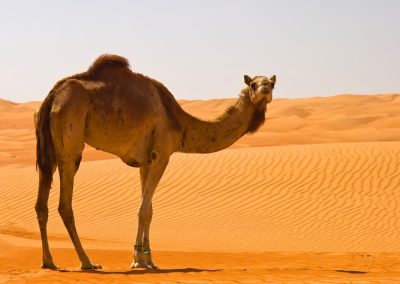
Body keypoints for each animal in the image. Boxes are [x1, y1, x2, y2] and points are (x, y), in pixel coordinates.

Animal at [34, 54, 276, 270]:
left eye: (272, 83)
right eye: (253, 83)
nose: (265, 89)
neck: (179, 122)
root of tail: (53, 95)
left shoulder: (145, 161)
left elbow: (148, 209)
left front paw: (146, 259)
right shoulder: (162, 154)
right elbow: (144, 210)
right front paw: (139, 260)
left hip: (49, 148)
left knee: (41, 203)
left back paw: (49, 262)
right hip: (70, 137)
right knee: (65, 204)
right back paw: (87, 262)